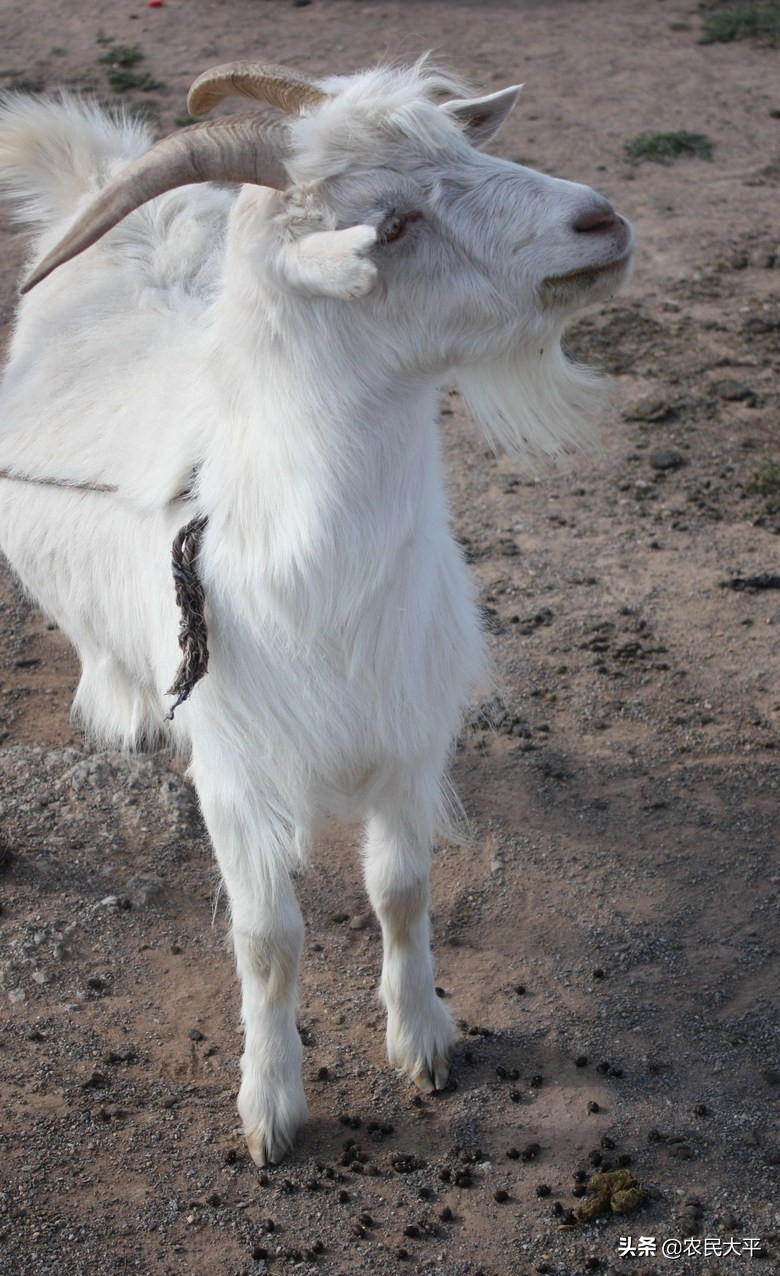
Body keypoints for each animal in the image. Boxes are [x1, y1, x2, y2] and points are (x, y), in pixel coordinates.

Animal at [0, 59, 635, 1168]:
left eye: (463, 148)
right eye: (392, 222)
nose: (601, 222)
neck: (320, 582)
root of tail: (107, 182)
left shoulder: (408, 736)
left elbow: (401, 890)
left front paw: (423, 1037)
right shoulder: (234, 767)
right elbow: (267, 941)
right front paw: (271, 1104)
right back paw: (121, 703)